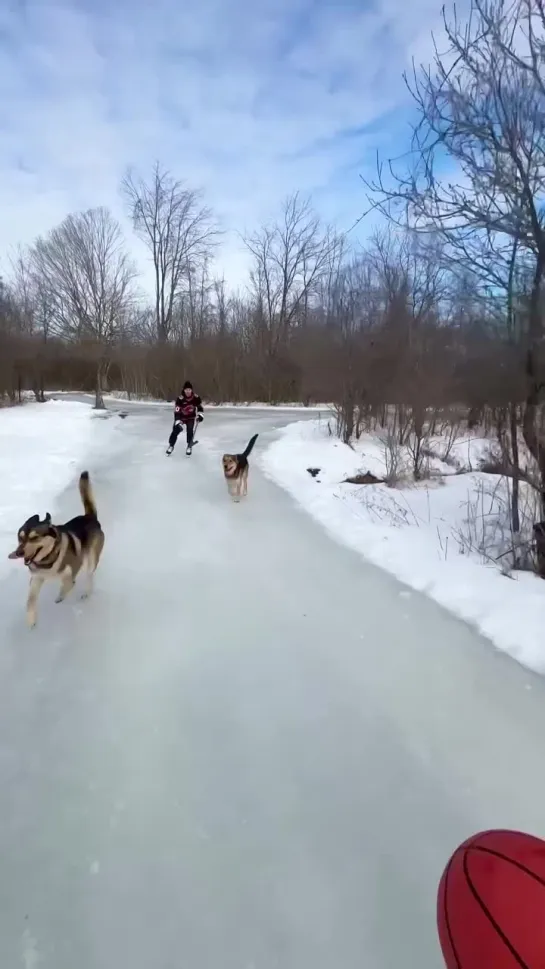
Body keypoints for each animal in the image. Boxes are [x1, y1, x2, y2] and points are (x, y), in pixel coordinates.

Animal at [8, 470, 104, 628]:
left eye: (34, 538)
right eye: (20, 538)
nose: (19, 553)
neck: (48, 559)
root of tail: (89, 517)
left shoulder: (72, 568)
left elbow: (68, 584)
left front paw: (61, 596)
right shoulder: (36, 578)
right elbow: (30, 601)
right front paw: (31, 620)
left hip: (92, 558)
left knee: (89, 576)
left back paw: (86, 593)